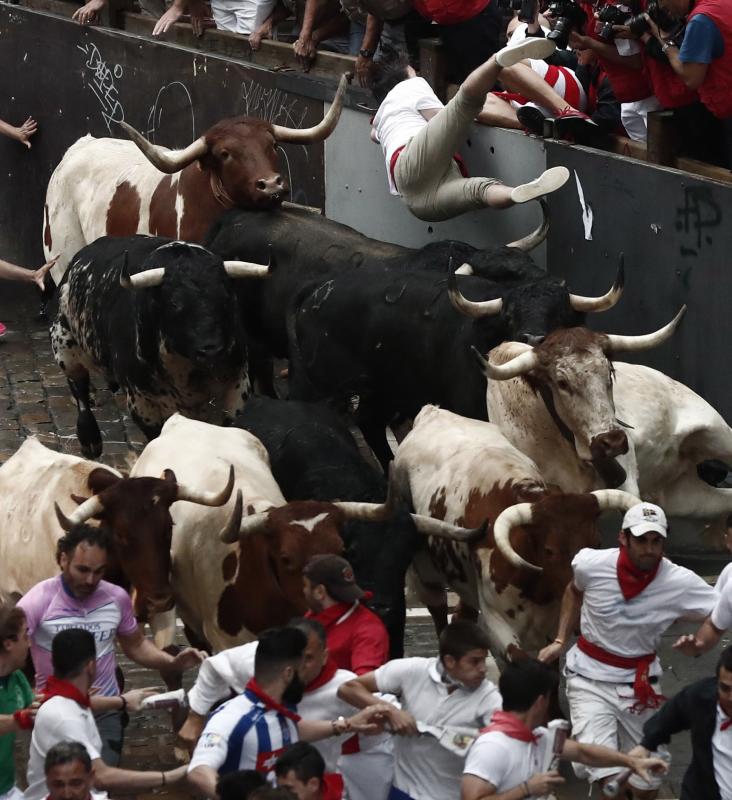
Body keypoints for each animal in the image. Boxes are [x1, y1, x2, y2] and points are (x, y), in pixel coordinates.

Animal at [50, 234, 268, 456]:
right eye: (175, 303)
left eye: (226, 298)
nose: (213, 350)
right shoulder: (141, 402)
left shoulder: (237, 387)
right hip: (64, 346)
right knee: (80, 389)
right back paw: (90, 440)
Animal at [392, 410, 636, 660]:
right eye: (549, 550)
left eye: (597, 542)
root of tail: (433, 411)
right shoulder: (497, 626)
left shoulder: (550, 628)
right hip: (426, 576)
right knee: (439, 613)